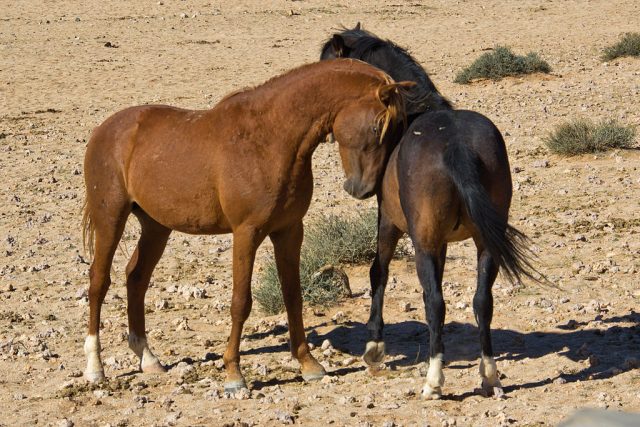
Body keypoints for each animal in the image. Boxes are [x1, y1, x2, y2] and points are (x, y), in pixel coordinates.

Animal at [81, 58, 410, 392]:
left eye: (398, 129)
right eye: (377, 126)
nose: (363, 189)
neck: (269, 139)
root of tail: (105, 129)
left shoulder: (289, 230)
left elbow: (293, 295)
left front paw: (308, 363)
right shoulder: (246, 233)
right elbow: (241, 302)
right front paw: (233, 373)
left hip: (156, 226)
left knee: (136, 277)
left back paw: (148, 358)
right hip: (110, 218)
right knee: (98, 282)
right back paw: (95, 367)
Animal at [322, 27, 544, 402]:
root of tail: (456, 145)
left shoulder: (391, 222)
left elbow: (378, 273)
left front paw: (374, 349)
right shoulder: (442, 242)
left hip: (423, 242)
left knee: (435, 302)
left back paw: (433, 381)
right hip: (485, 244)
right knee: (482, 301)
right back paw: (490, 377)